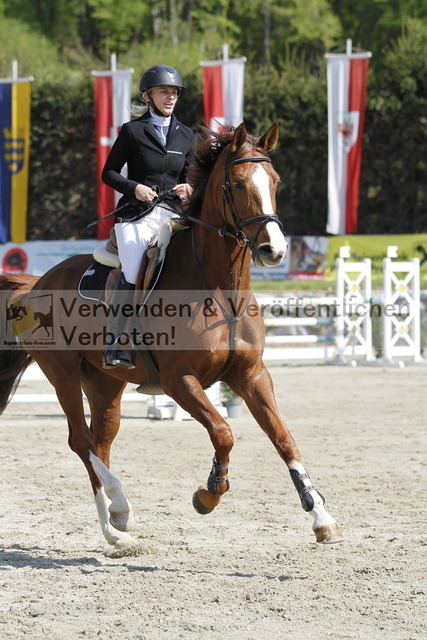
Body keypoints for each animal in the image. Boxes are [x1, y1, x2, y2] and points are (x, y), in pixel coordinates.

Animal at [0, 123, 343, 551]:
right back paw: (119, 508)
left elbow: (284, 439)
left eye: (275, 181)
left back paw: (114, 528)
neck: (222, 290)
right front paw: (209, 493)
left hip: (104, 382)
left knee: (99, 442)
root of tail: (37, 283)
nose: (274, 250)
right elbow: (223, 432)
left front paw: (321, 517)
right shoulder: (178, 380)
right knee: (80, 440)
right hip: (61, 373)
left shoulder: (251, 375)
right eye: (237, 183)